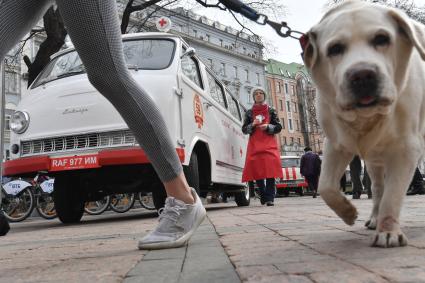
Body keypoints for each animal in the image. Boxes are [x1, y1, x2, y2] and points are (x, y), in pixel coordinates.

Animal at [304, 0, 424, 248]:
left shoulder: (406, 148)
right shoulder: (335, 144)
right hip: (373, 162)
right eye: (335, 48)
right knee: (377, 188)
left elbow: (393, 195)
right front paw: (348, 212)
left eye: (382, 38)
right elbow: (325, 186)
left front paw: (388, 232)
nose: (362, 75)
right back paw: (374, 218)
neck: (366, 117)